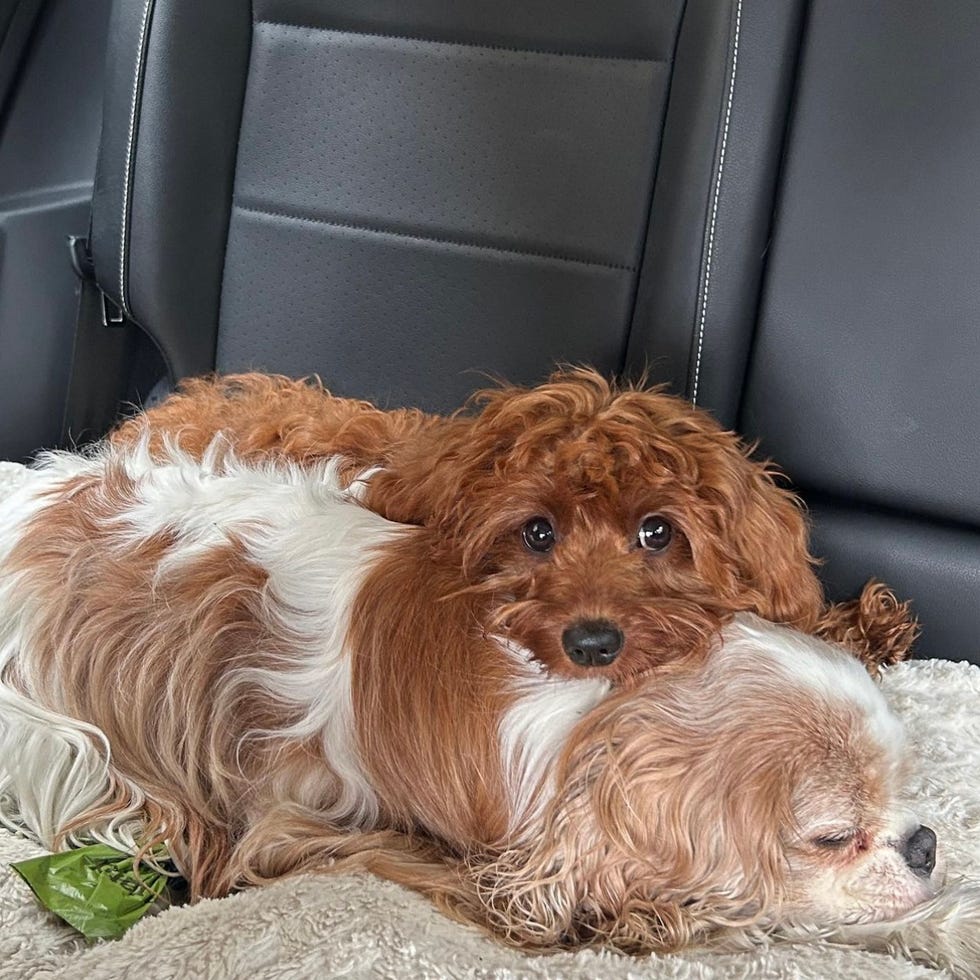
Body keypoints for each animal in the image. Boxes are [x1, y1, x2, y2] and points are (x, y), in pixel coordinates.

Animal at [0, 442, 976, 972]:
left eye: (908, 787)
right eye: (830, 835)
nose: (925, 841)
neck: (591, 718)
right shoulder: (300, 826)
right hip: (58, 744)